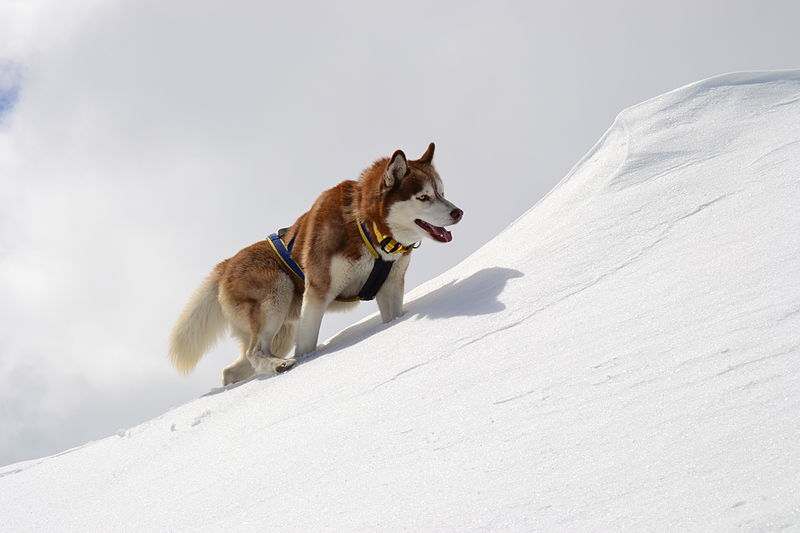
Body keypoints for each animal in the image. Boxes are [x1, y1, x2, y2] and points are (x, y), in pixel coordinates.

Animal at [169, 142, 462, 382]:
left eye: (442, 192)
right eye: (423, 197)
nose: (458, 212)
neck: (367, 229)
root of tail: (226, 263)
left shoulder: (390, 287)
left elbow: (393, 318)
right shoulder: (318, 292)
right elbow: (307, 345)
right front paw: (309, 361)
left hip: (282, 330)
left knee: (233, 369)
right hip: (279, 292)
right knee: (254, 351)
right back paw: (278, 366)